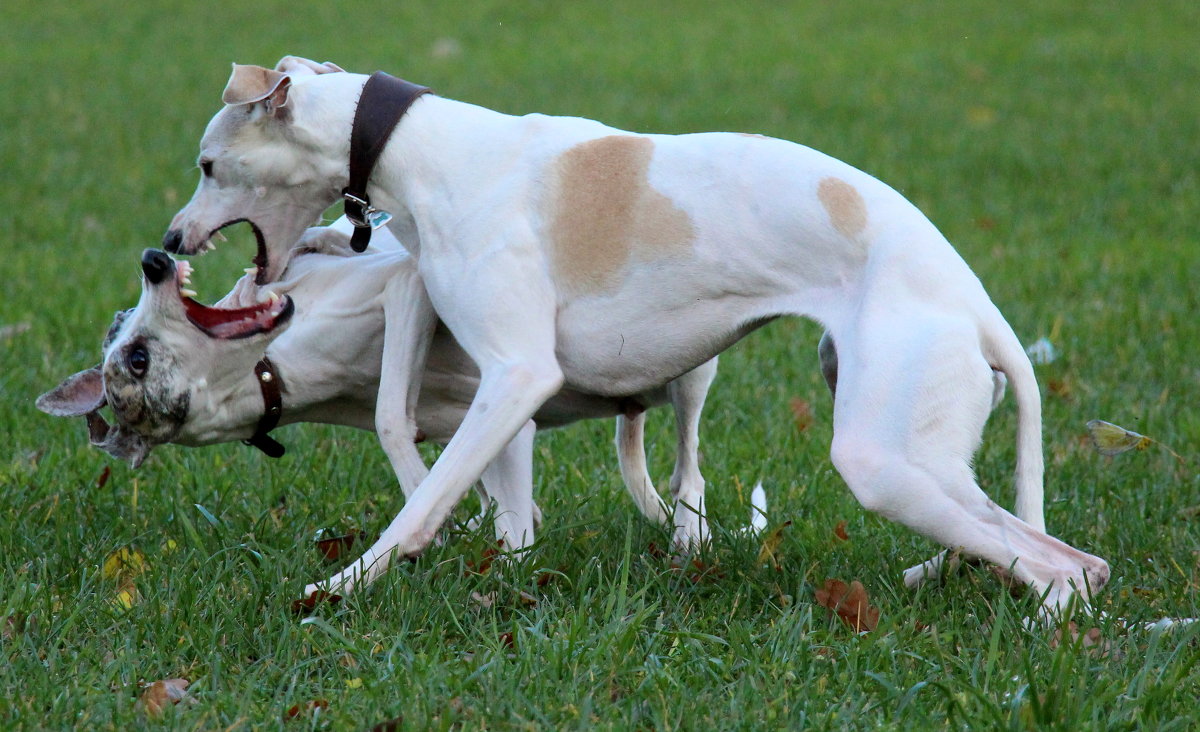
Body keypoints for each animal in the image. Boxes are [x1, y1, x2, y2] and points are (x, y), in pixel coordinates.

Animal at [164, 55, 1108, 609]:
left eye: (208, 164)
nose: (168, 242)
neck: (418, 146)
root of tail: (978, 305)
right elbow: (485, 502)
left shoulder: (517, 375)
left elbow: (424, 503)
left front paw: (338, 587)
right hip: (910, 442)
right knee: (1052, 550)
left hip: (880, 458)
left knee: (1062, 567)